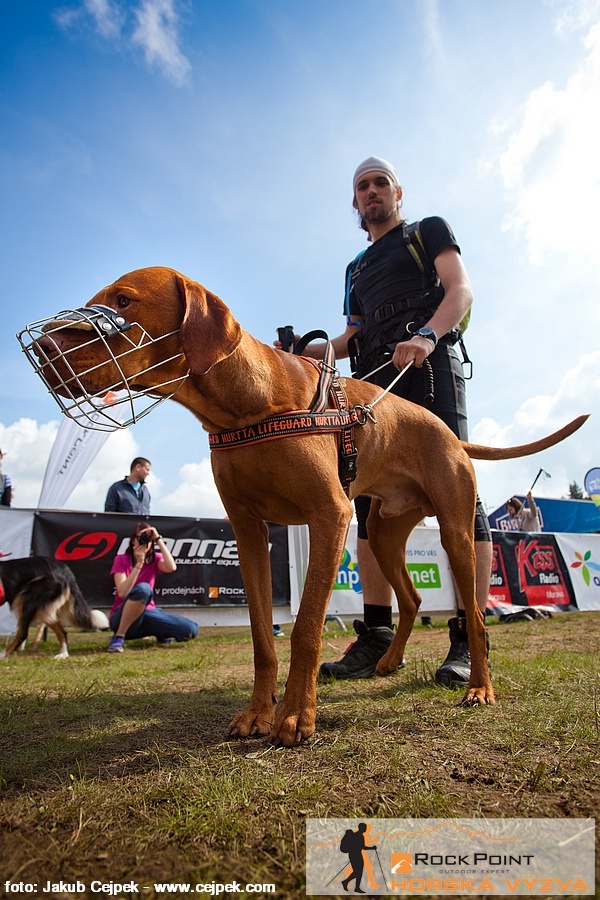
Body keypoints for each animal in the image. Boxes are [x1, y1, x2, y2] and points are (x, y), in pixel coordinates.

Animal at [17, 268, 584, 744]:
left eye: (123, 301)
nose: (41, 349)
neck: (244, 407)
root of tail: (449, 434)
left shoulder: (327, 517)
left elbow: (307, 628)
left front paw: (294, 716)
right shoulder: (249, 530)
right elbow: (262, 638)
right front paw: (257, 713)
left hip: (457, 532)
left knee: (477, 616)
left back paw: (478, 686)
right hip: (381, 532)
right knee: (412, 599)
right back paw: (387, 661)